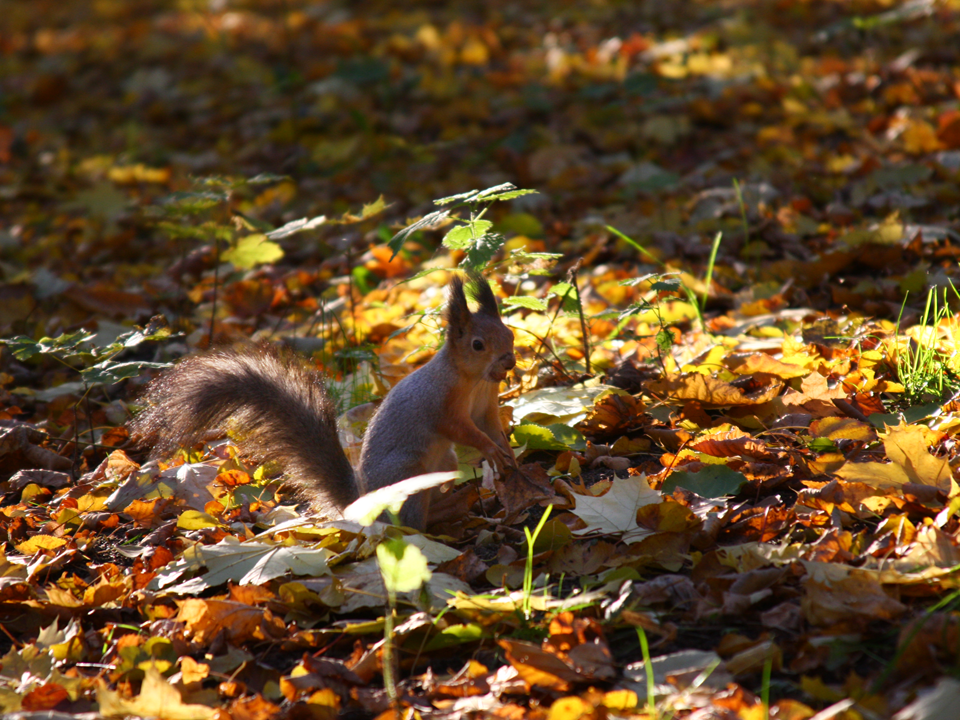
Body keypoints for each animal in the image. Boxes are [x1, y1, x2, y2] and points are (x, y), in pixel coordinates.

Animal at [131, 272, 516, 528]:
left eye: (509, 333)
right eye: (478, 345)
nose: (509, 362)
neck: (473, 381)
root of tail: (364, 504)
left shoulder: (486, 403)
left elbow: (490, 425)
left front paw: (506, 450)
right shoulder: (443, 403)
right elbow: (462, 429)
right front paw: (490, 448)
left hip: (444, 463)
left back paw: (457, 499)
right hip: (408, 475)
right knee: (412, 524)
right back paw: (452, 507)